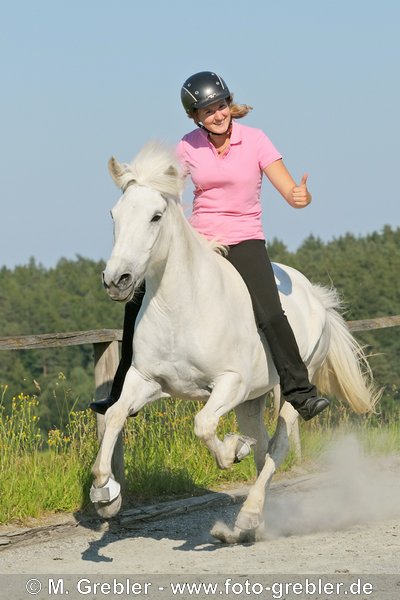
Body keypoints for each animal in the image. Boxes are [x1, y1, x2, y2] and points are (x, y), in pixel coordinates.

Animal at [90, 142, 378, 544]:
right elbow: (116, 414)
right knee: (263, 449)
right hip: (252, 400)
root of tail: (316, 296)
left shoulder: (230, 383)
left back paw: (247, 517)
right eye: (114, 215)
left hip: (286, 391)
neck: (182, 306)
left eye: (156, 217)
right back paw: (254, 525)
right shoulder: (146, 380)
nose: (117, 280)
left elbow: (203, 424)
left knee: (277, 446)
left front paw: (231, 451)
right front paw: (105, 495)